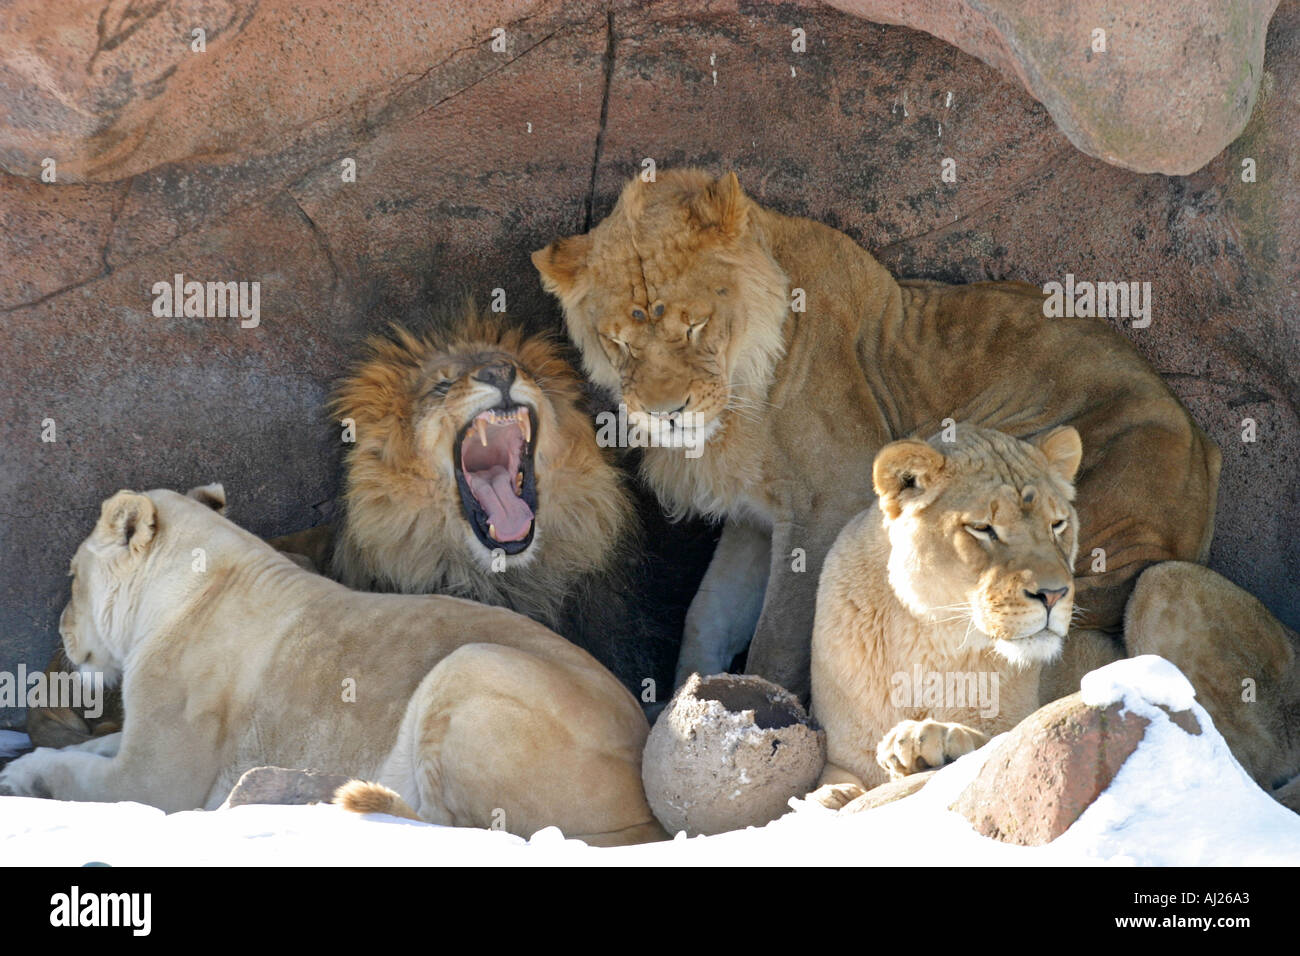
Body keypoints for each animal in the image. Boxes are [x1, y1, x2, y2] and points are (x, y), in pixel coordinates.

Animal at [0, 486, 665, 842]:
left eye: (71, 576)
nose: (62, 632)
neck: (189, 587)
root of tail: (647, 800)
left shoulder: (157, 776)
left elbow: (90, 778)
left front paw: (26, 778)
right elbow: (89, 748)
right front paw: (22, 765)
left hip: (472, 665)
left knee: (461, 826)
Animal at [533, 166, 1222, 702]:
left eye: (694, 325)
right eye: (619, 341)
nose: (665, 411)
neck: (740, 392)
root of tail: (1203, 444)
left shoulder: (827, 502)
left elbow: (780, 635)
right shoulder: (757, 522)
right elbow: (708, 615)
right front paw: (686, 705)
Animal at [806, 426, 1081, 801]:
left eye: (1057, 524)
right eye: (982, 528)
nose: (1053, 595)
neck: (924, 636)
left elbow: (996, 739)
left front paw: (930, 738)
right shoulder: (842, 754)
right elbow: (834, 780)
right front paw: (833, 795)